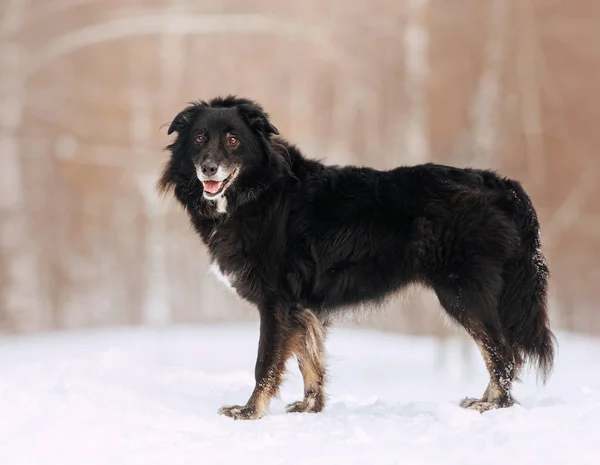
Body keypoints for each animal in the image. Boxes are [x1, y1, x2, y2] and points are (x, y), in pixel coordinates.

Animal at [158, 96, 552, 418]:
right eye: (199, 139)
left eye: (233, 140)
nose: (208, 168)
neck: (261, 192)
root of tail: (500, 185)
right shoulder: (301, 307)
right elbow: (309, 359)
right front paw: (311, 407)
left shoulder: (277, 302)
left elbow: (265, 363)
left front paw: (249, 411)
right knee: (499, 351)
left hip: (461, 293)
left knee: (502, 352)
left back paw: (494, 405)